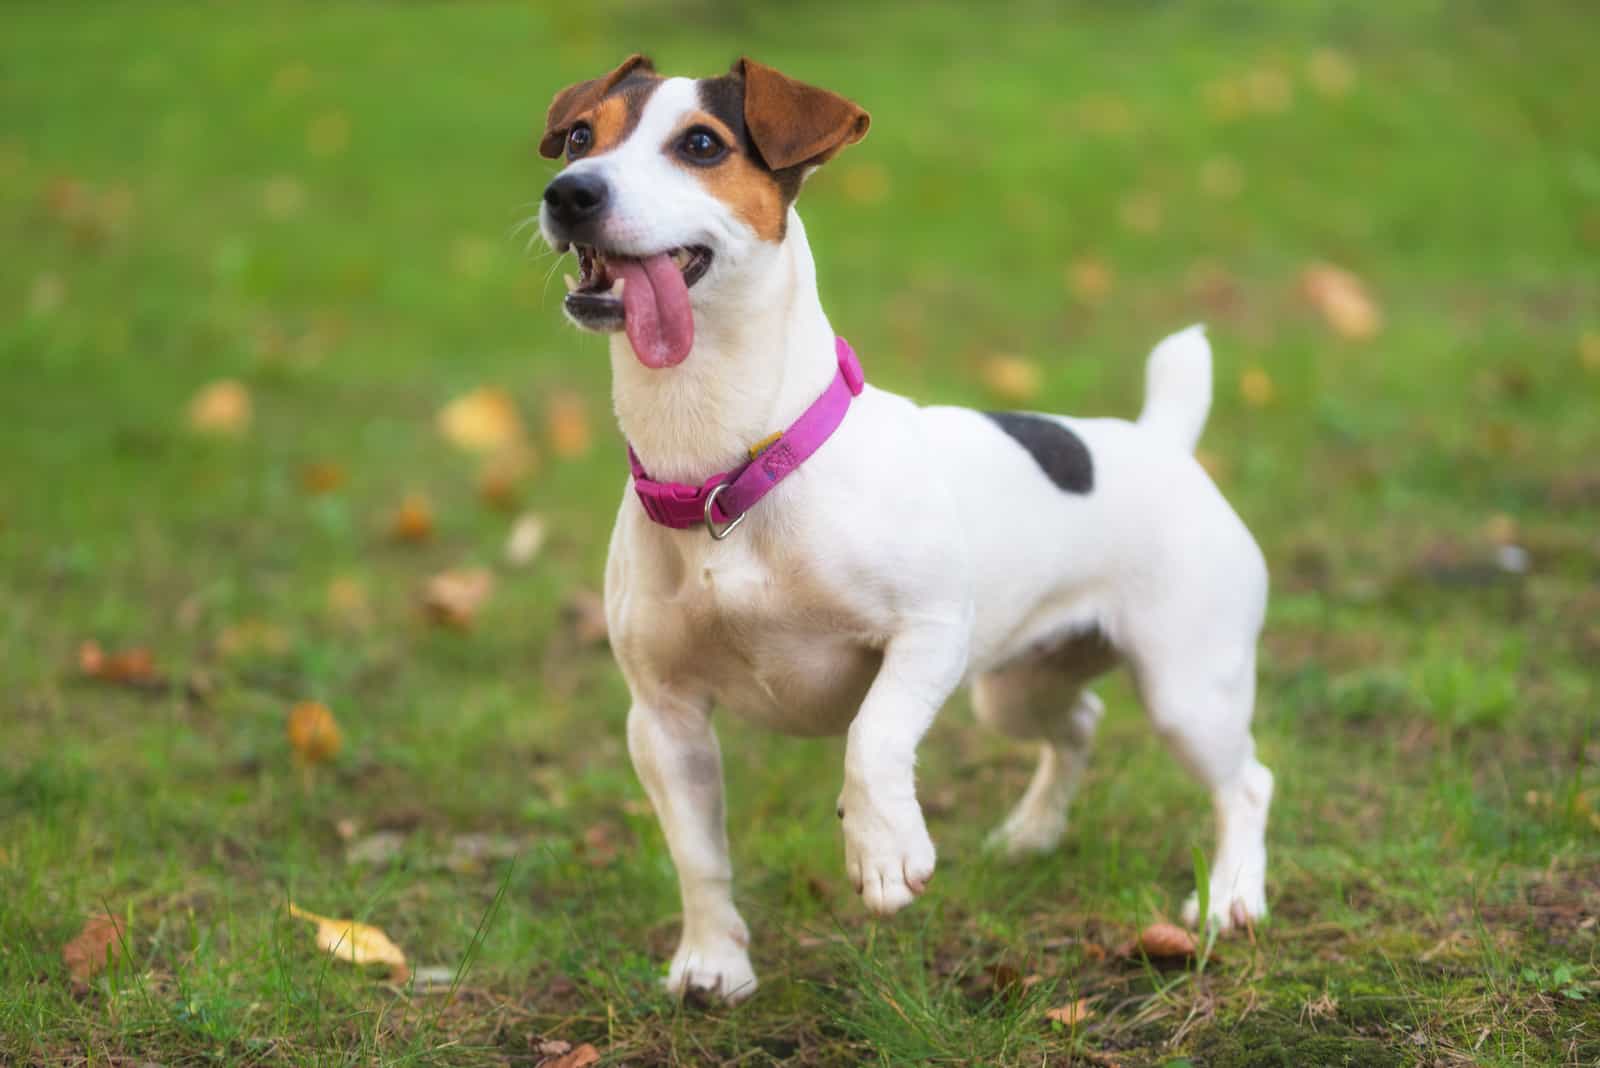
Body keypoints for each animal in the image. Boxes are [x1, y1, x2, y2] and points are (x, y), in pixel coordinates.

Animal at [537, 54, 1273, 1004]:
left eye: (701, 144)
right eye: (579, 136)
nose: (569, 193)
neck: (728, 472)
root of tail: (1161, 440)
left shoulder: (928, 632)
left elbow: (873, 732)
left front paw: (884, 849)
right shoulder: (662, 717)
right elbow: (697, 852)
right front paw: (713, 960)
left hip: (1189, 689)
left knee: (1246, 783)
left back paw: (1231, 898)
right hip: (1018, 687)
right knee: (1078, 723)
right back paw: (1033, 832)